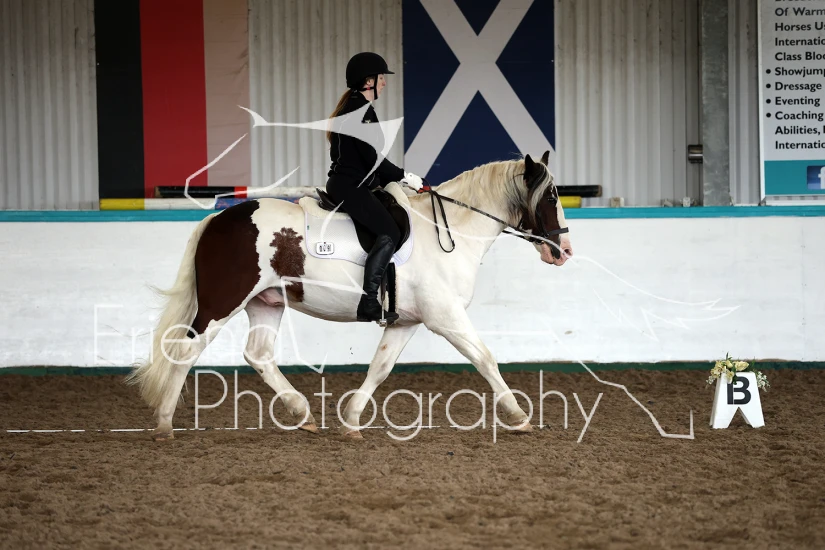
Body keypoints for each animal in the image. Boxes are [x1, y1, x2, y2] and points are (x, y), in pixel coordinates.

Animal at [127, 151, 573, 440]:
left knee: (258, 355)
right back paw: (164, 425)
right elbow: (485, 358)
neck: (450, 231)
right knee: (185, 352)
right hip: (223, 303)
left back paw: (302, 413)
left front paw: (351, 422)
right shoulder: (445, 317)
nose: (564, 251)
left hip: (266, 302)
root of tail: (218, 219)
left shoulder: (407, 322)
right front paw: (519, 417)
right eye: (551, 196)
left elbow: (380, 368)